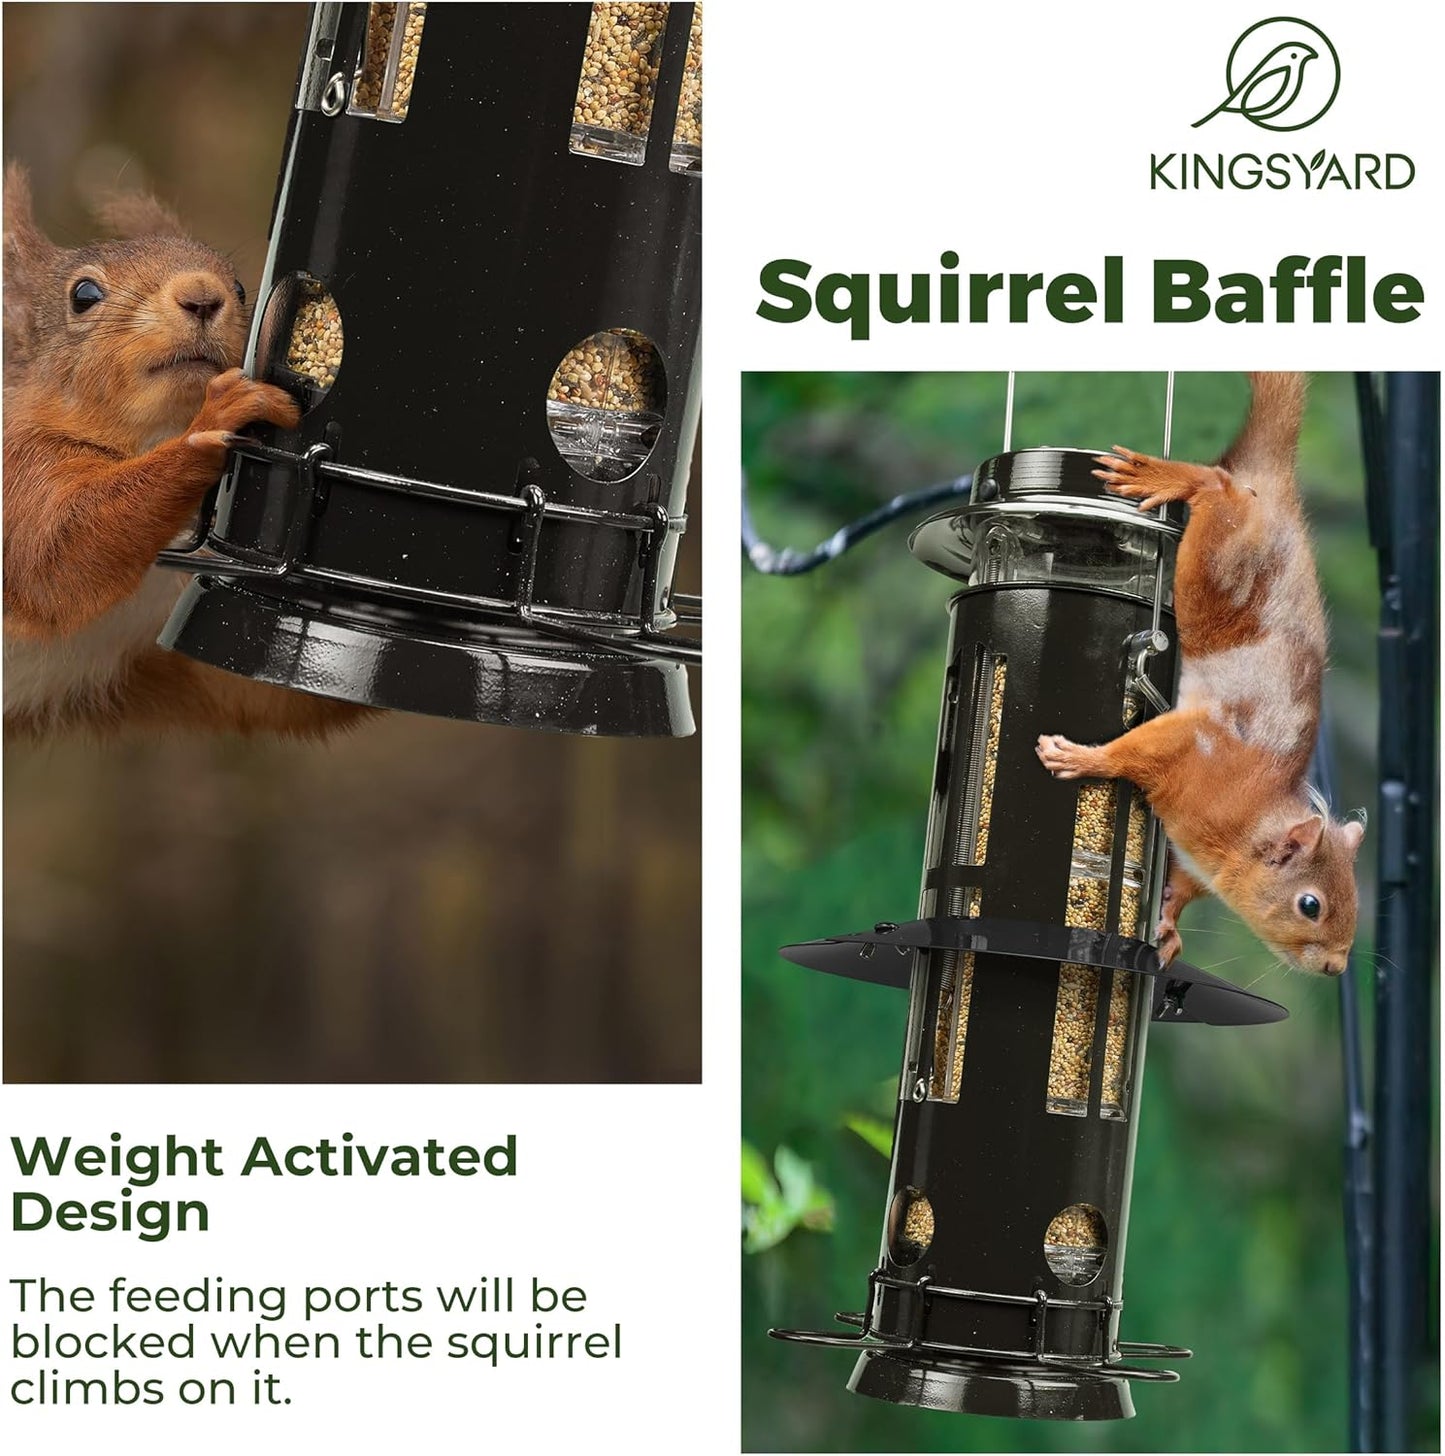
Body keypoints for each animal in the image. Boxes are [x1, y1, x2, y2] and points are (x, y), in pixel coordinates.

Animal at [3, 163, 369, 739]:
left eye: (241, 287)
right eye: (83, 295)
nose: (202, 295)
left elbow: (273, 692)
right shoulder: (18, 472)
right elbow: (56, 553)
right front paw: (218, 419)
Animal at [1035, 371, 1364, 977]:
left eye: (1352, 898)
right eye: (1310, 905)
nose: (1336, 967)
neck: (1248, 822)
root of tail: (1275, 486)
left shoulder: (1194, 856)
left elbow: (1182, 886)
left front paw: (1167, 925)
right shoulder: (1195, 752)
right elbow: (1136, 751)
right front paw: (1086, 760)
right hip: (1218, 561)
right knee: (1218, 487)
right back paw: (1172, 478)